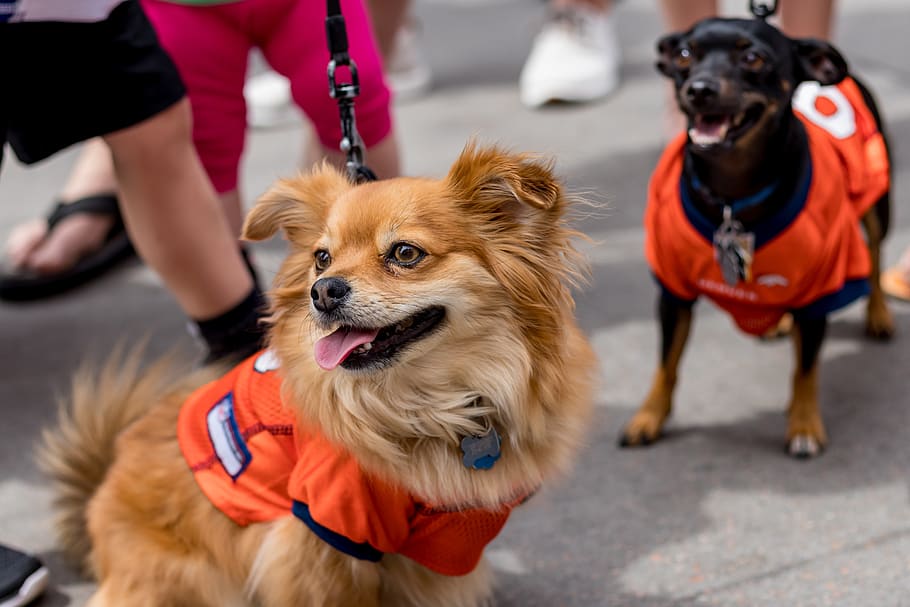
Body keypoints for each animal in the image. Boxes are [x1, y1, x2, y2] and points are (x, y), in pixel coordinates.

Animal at [41, 145, 600, 604]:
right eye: (321, 258)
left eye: (405, 253)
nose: (323, 290)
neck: (427, 407)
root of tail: (99, 488)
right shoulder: (324, 530)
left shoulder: (446, 539)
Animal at [624, 16, 896, 458]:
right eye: (684, 55)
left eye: (753, 58)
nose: (699, 89)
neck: (733, 196)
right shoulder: (673, 292)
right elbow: (666, 363)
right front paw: (649, 417)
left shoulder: (819, 292)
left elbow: (805, 370)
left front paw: (803, 425)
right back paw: (781, 322)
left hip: (877, 203)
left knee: (873, 259)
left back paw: (879, 315)